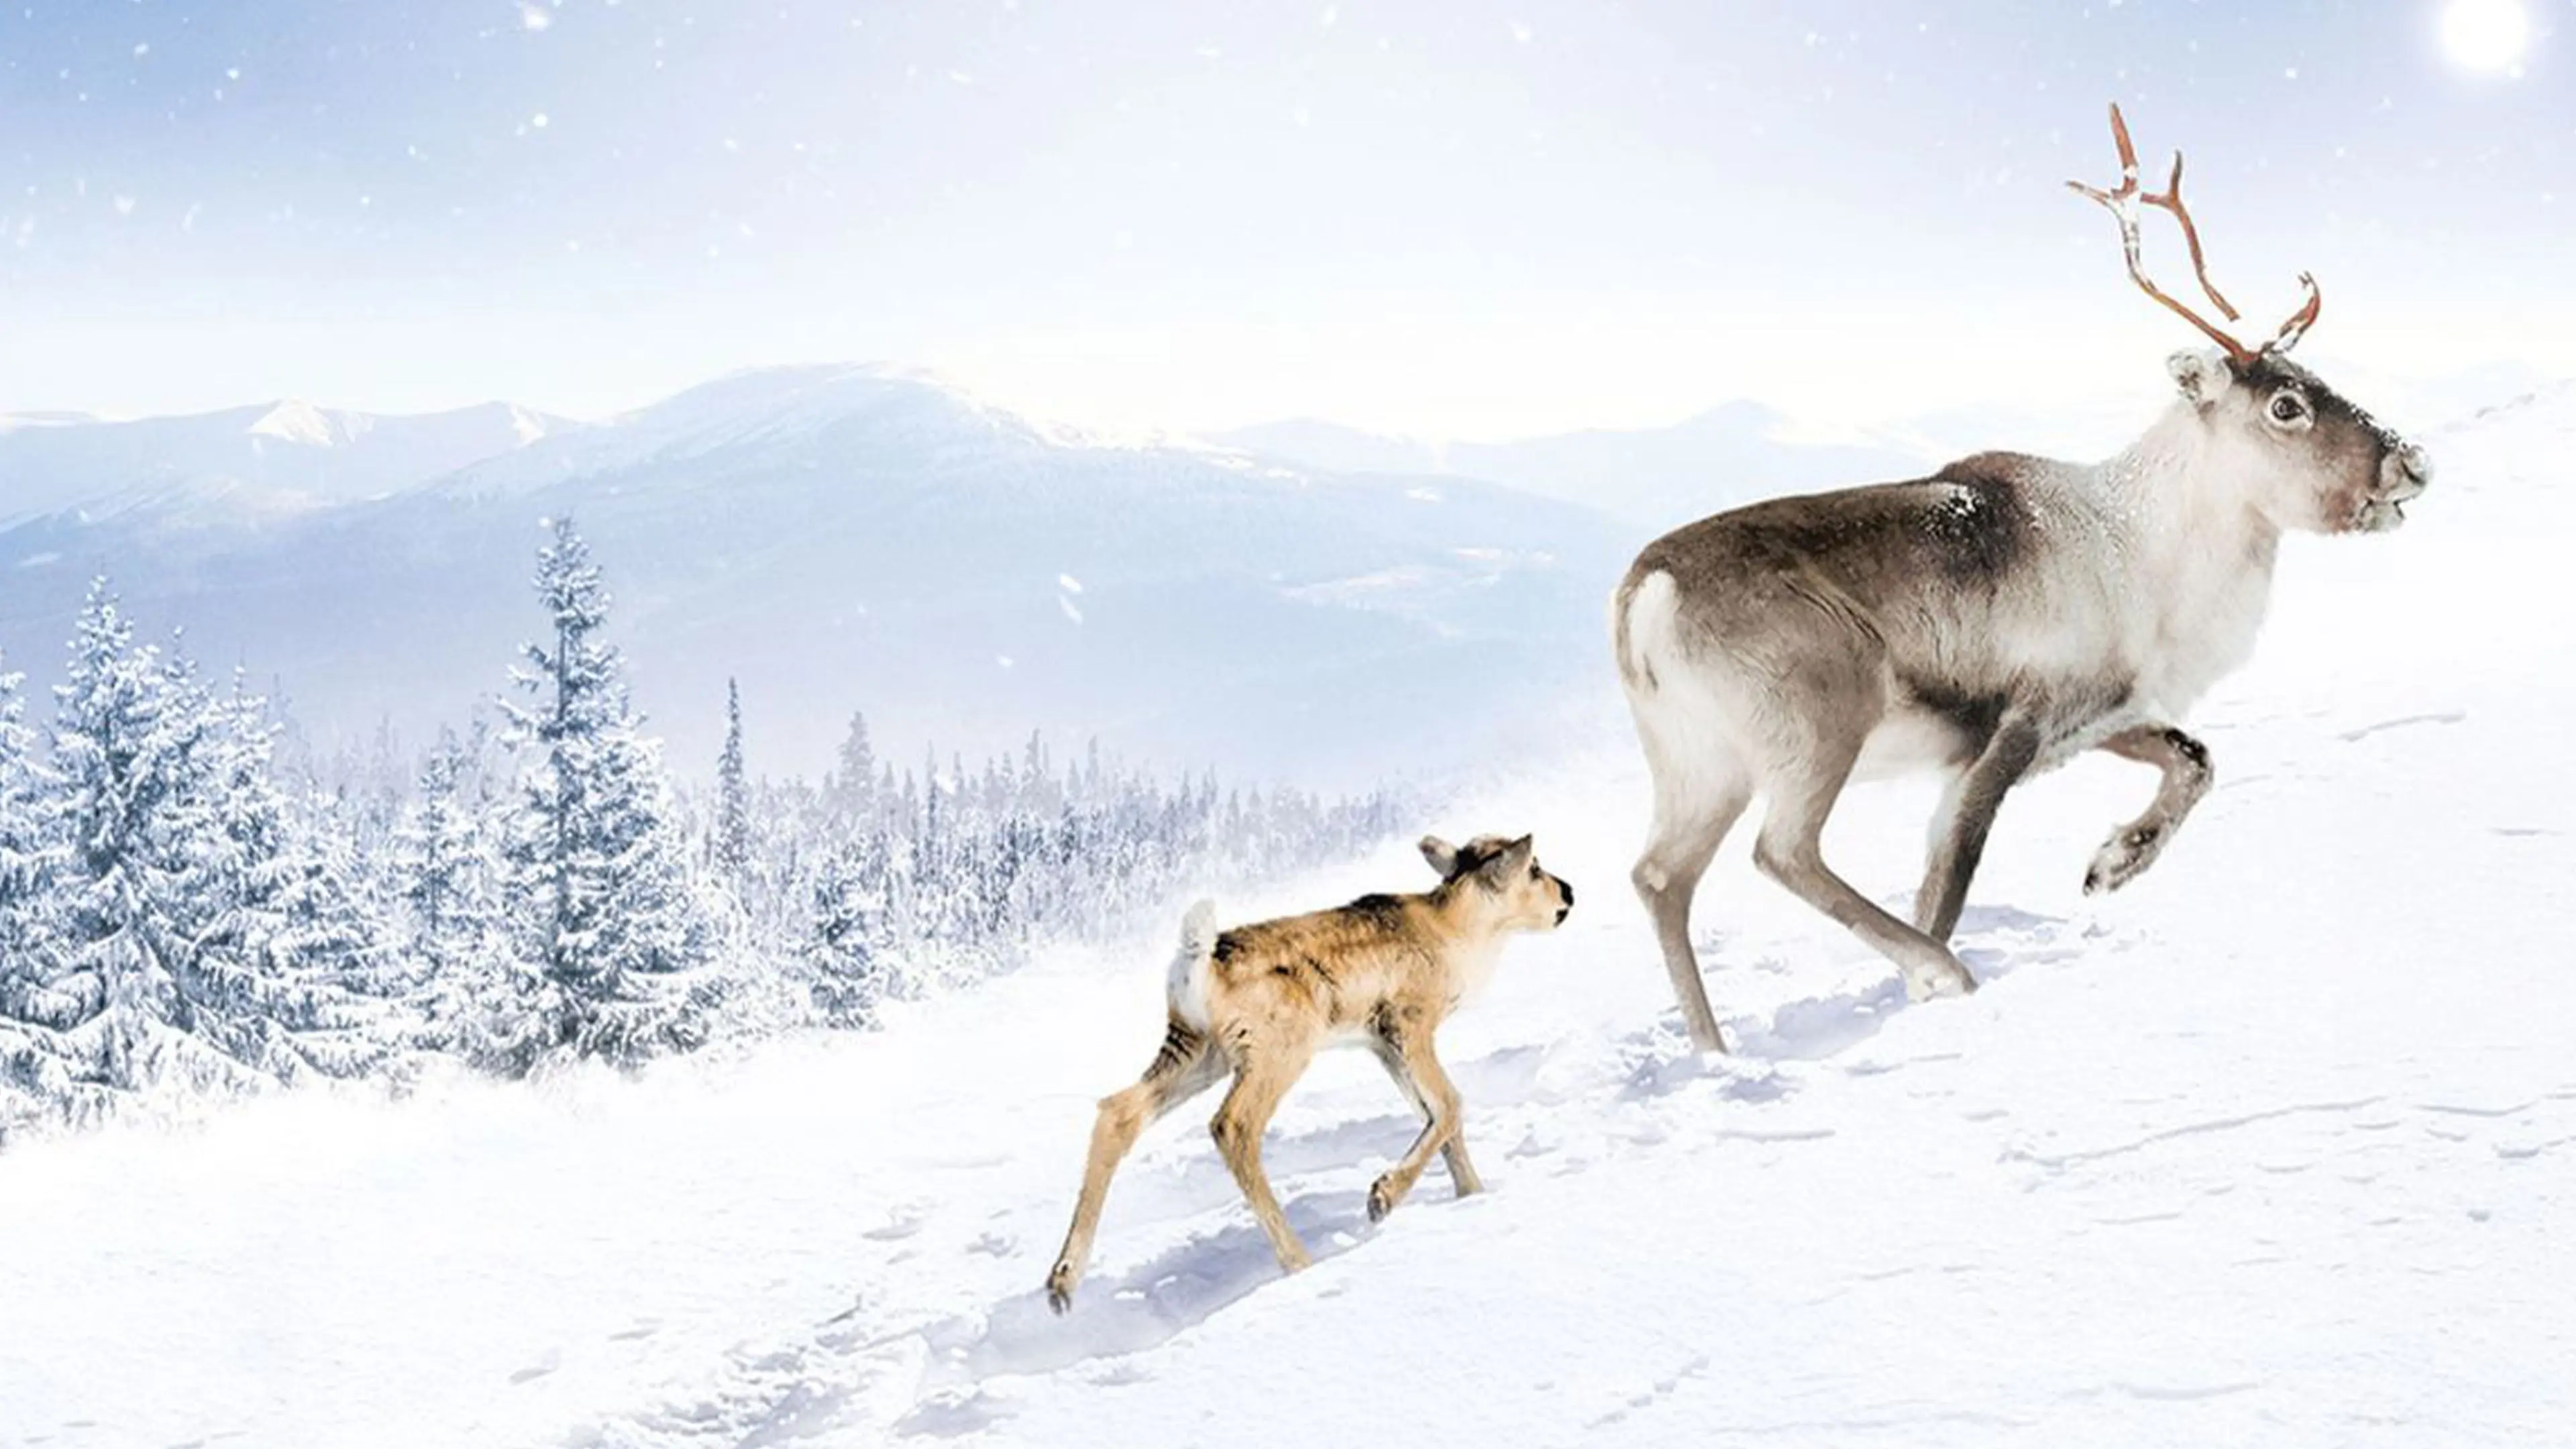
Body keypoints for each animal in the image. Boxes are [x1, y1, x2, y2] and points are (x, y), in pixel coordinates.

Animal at [1043, 833, 1574, 1313]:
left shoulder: (1381, 1043)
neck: (1456, 931)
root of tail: (1198, 960)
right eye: (1534, 868)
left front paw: (1472, 1193)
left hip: (1196, 1051)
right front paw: (1381, 1198)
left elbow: (1438, 1116)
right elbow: (1451, 1104)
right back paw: (1298, 1260)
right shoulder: (1409, 1023)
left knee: (1118, 1111)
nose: (1568, 893)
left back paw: (1062, 1285)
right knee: (1232, 1126)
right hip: (1278, 1051)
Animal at [1614, 104, 2432, 1053]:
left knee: (1661, 876)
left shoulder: (2100, 713)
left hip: (1698, 764)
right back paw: (1938, 974)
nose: (2412, 462)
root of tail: (1643, 598)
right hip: (1814, 726)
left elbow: (2196, 760)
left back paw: (1715, 1052)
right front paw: (1933, 983)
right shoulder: (2015, 722)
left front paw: (2111, 865)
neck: (2147, 552)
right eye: (2286, 405)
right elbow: (1951, 873)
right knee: (1780, 851)